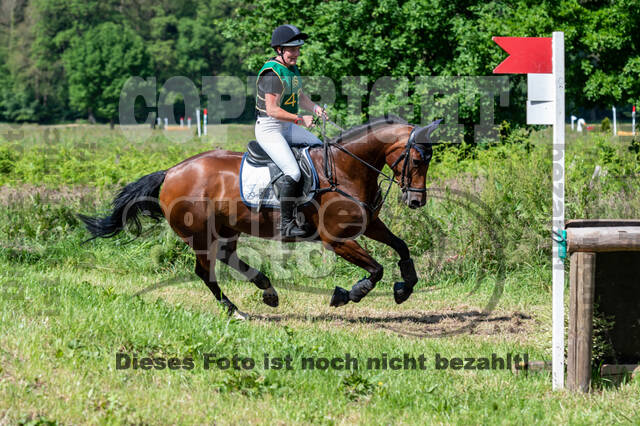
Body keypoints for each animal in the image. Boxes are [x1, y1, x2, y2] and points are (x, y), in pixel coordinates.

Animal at [79, 115, 442, 319]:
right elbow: (376, 269)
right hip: (200, 234)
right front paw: (347, 295)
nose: (416, 201)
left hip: (227, 228)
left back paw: (267, 291)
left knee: (227, 258)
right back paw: (235, 311)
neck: (344, 169)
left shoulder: (369, 224)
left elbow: (402, 247)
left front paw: (405, 288)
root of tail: (170, 172)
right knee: (205, 271)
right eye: (417, 160)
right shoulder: (336, 239)